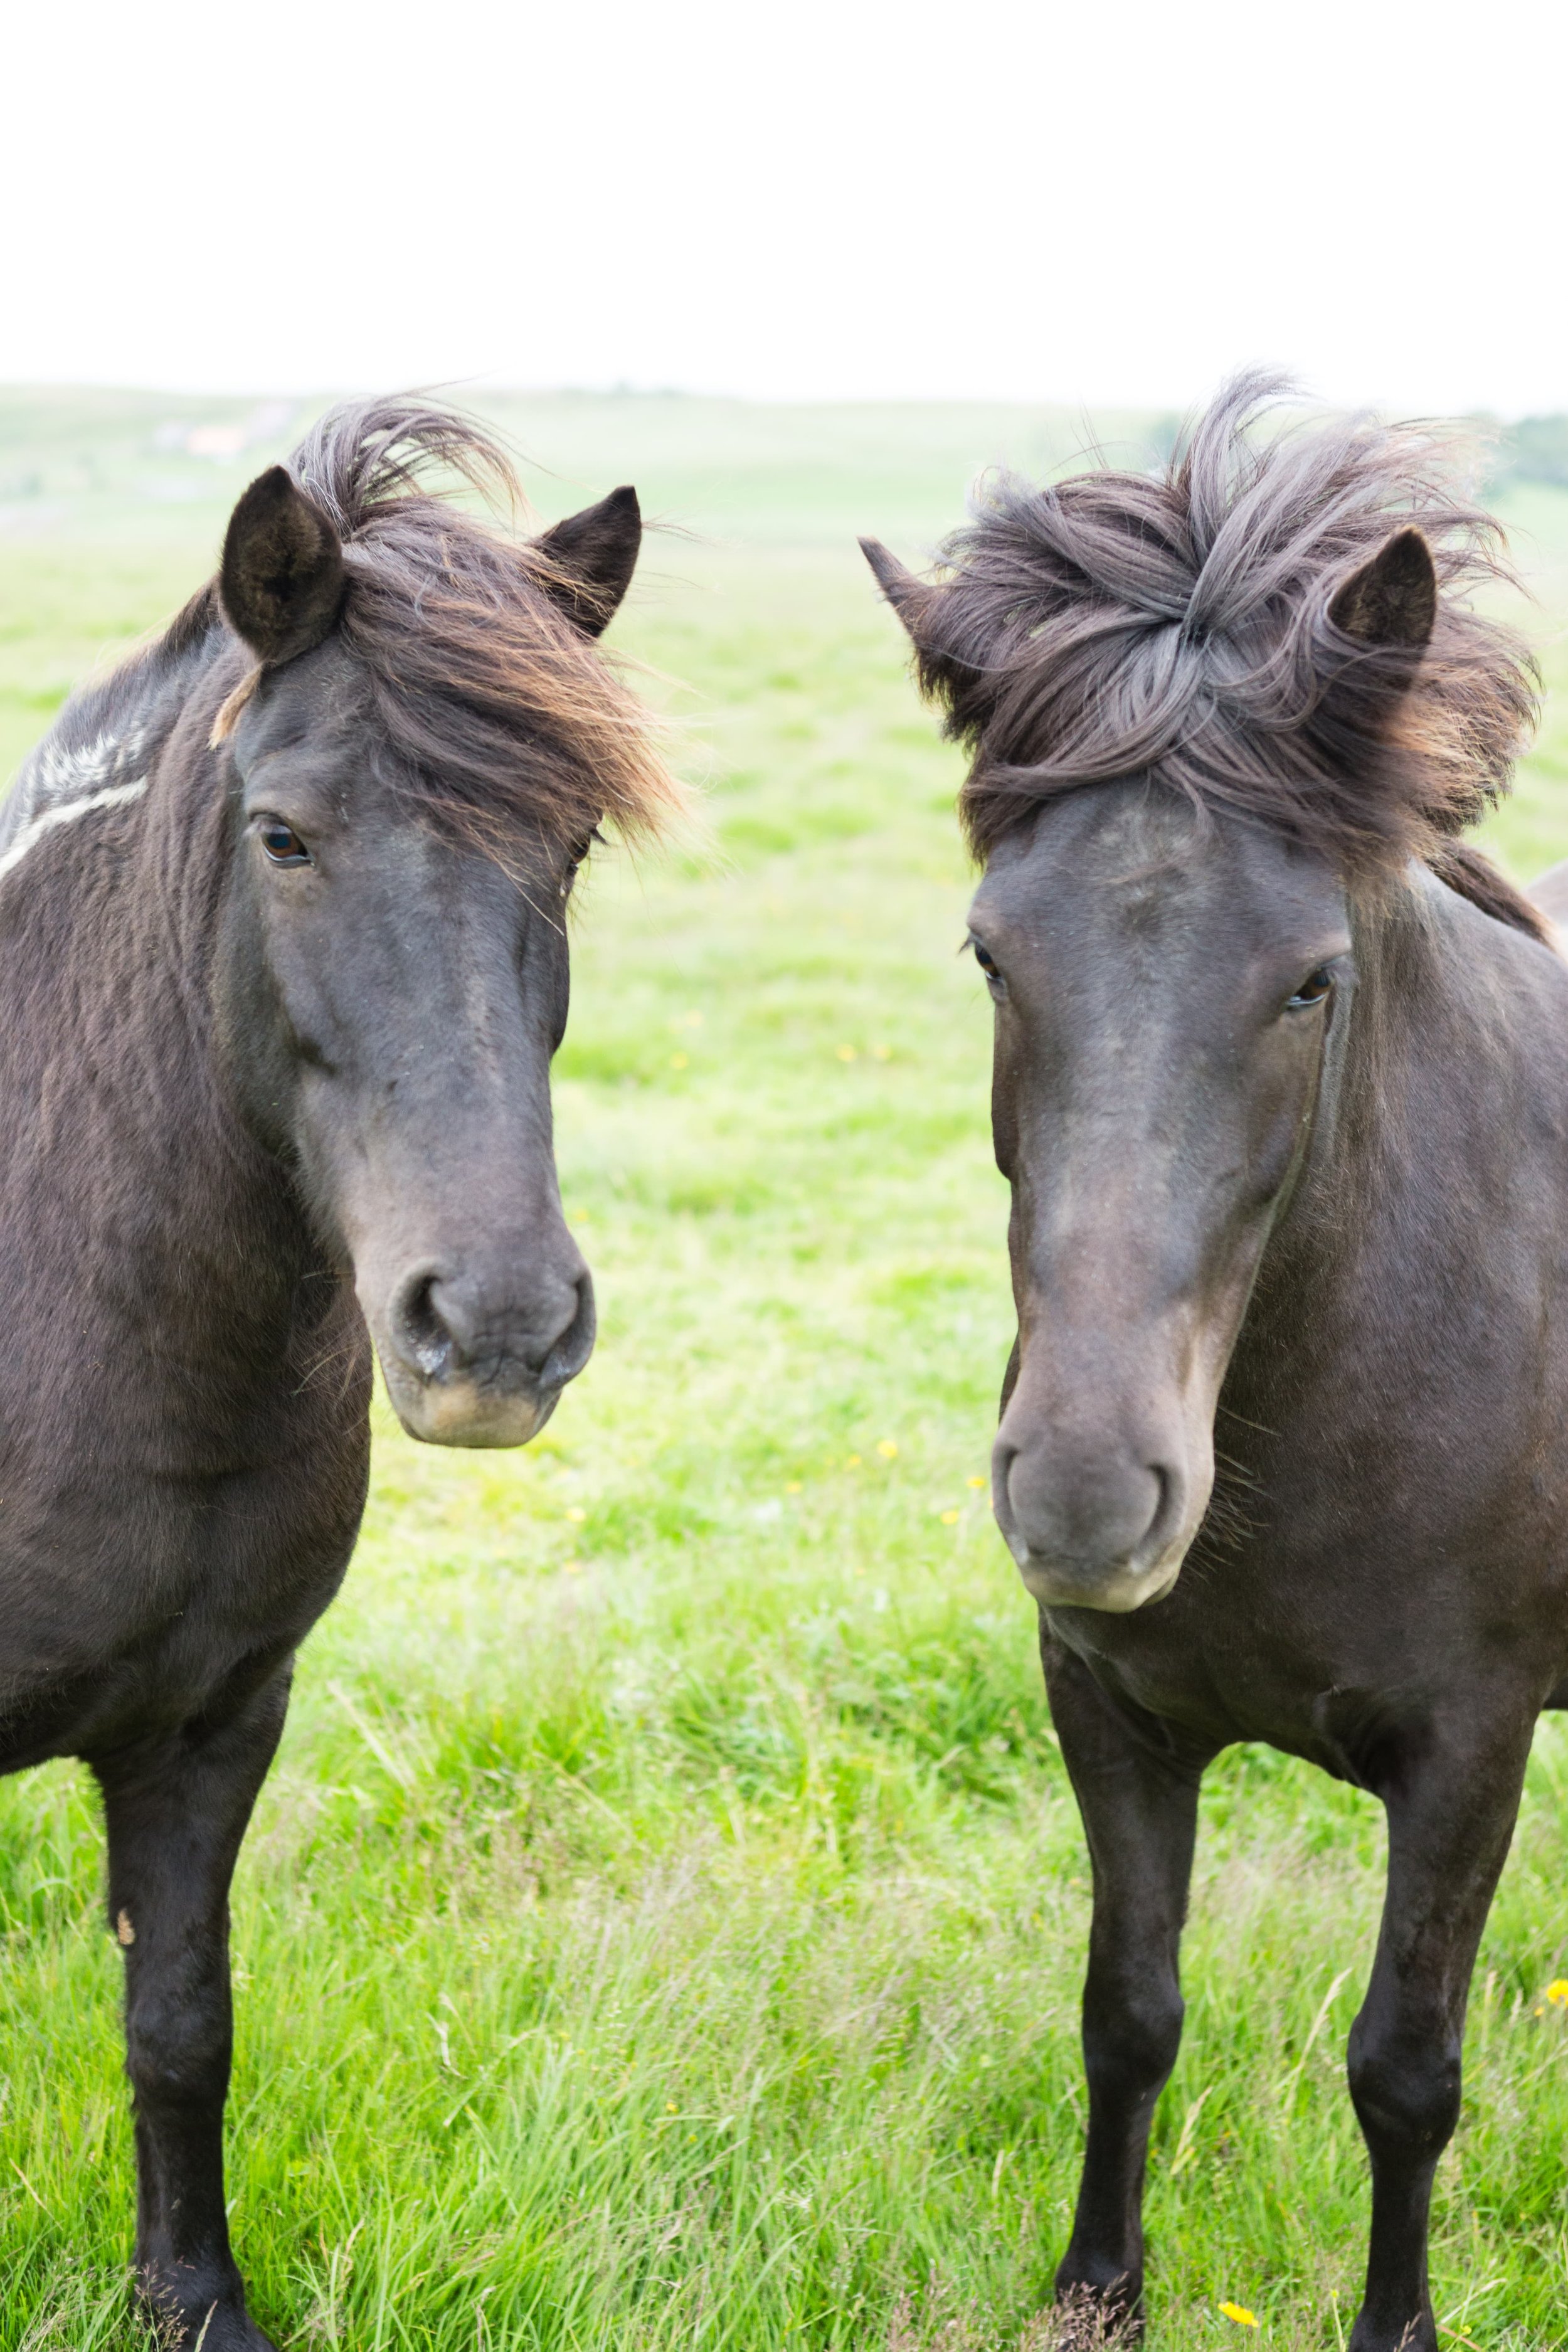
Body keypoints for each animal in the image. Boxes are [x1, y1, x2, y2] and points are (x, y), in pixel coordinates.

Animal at [0, 395, 667, 2343]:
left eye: (570, 847)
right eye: (285, 836)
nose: (496, 1323)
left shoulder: (216, 1718)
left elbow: (178, 2027)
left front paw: (192, 2298)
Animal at [865, 371, 1568, 2352]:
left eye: (1311, 979)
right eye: (988, 951)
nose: (1088, 1493)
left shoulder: (1472, 1745)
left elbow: (1404, 2066)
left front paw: (1396, 2325)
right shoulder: (1109, 1707)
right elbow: (1127, 2009)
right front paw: (1096, 2284)